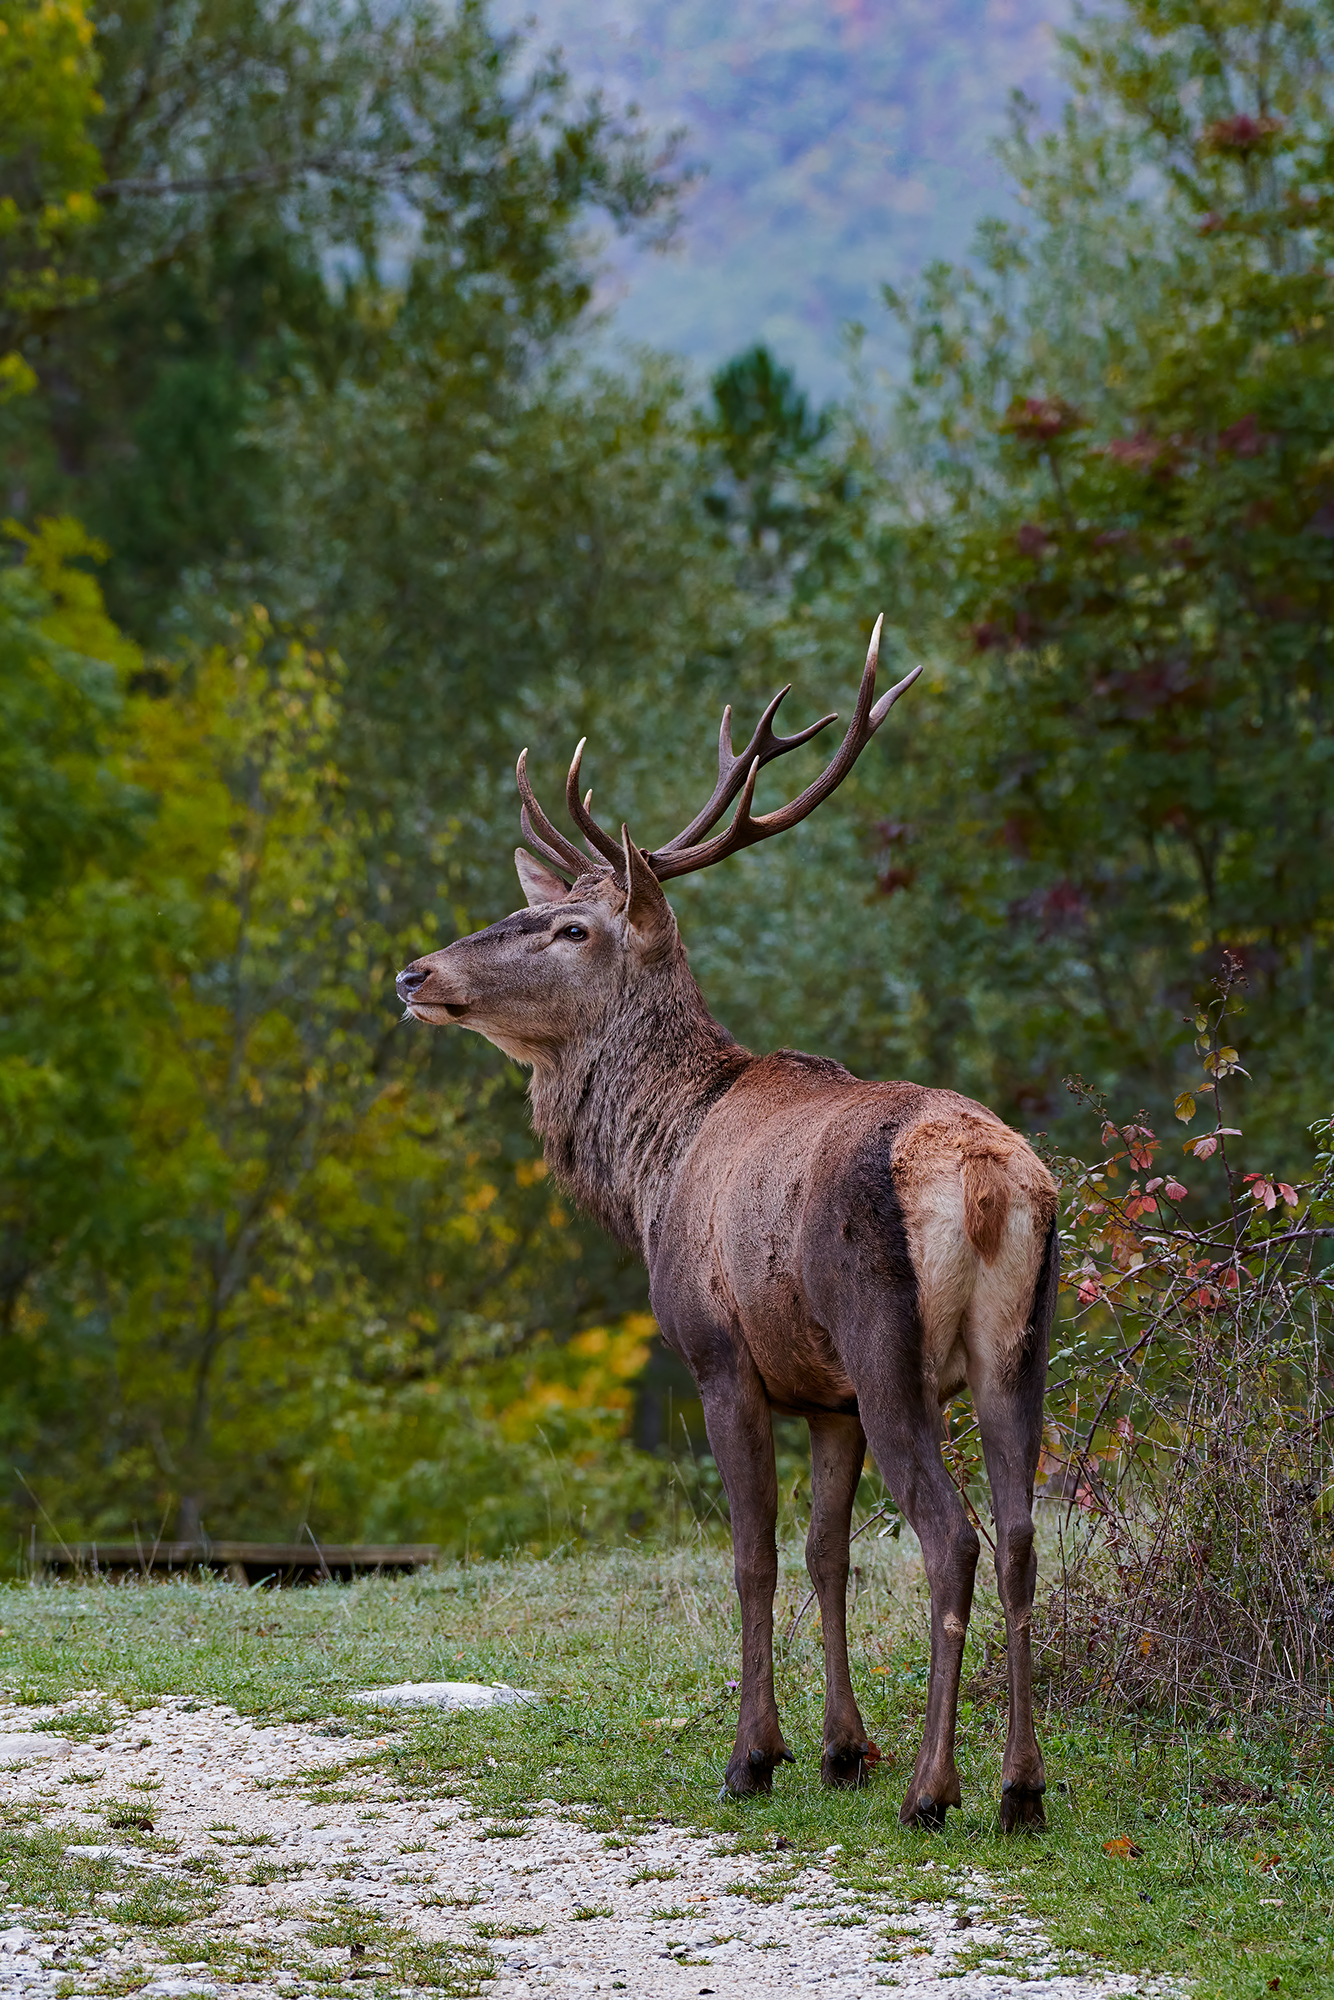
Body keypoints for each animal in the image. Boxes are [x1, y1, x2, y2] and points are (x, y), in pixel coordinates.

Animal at [395, 617, 1059, 1833]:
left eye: (568, 925)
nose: (415, 972)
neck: (655, 1168)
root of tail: (991, 1184)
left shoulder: (718, 1351)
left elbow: (753, 1553)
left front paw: (755, 1754)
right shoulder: (826, 1394)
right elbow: (826, 1551)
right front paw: (844, 1748)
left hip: (887, 1339)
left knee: (953, 1533)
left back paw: (935, 1790)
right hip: (1018, 1343)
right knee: (1024, 1531)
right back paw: (1020, 1787)